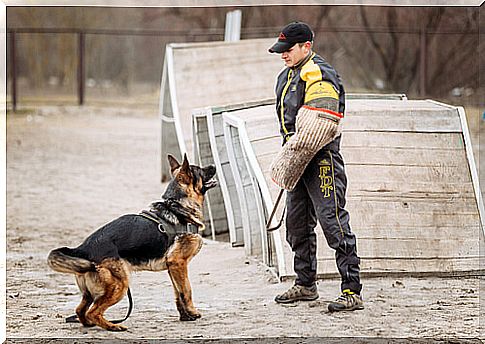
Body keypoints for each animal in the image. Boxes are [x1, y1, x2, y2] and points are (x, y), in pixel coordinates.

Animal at [47, 155, 217, 330]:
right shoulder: (178, 263)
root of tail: (82, 248)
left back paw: (91, 324)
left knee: (81, 310)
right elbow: (187, 290)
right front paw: (193, 312)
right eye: (200, 170)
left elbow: (178, 292)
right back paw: (113, 326)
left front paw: (185, 315)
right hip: (120, 285)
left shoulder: (173, 268)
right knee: (93, 312)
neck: (178, 205)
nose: (213, 165)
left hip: (91, 292)